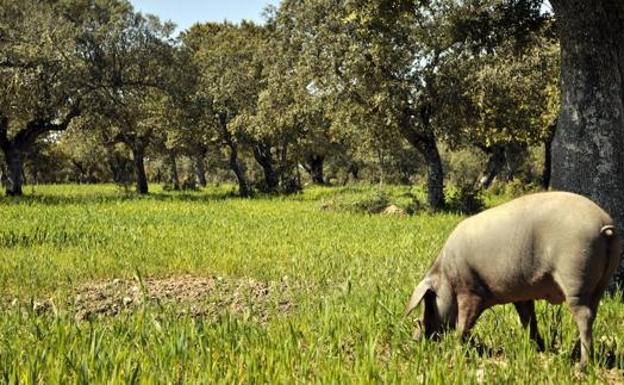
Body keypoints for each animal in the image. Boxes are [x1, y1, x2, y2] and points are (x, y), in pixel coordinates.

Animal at [408, 190, 620, 368]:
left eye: (428, 301)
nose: (415, 339)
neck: (446, 275)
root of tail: (603, 224)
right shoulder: (522, 295)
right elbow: (528, 319)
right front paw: (539, 349)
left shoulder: (470, 291)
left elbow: (464, 322)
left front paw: (456, 350)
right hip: (601, 281)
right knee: (592, 313)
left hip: (574, 274)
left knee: (583, 315)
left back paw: (581, 365)